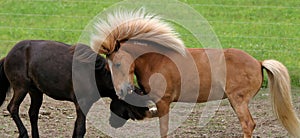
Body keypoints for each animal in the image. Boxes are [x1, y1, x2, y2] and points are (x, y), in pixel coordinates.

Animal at [0, 39, 154, 137]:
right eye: (130, 106)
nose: (114, 124)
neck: (95, 74)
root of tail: (7, 56)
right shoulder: (82, 104)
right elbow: (80, 130)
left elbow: (76, 128)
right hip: (21, 88)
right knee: (12, 108)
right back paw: (24, 133)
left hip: (36, 91)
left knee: (32, 113)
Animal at [91, 9, 300, 137]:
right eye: (108, 68)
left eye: (118, 64)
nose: (121, 91)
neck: (156, 61)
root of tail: (258, 62)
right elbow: (149, 114)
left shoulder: (164, 102)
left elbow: (163, 129)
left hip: (238, 100)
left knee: (248, 124)